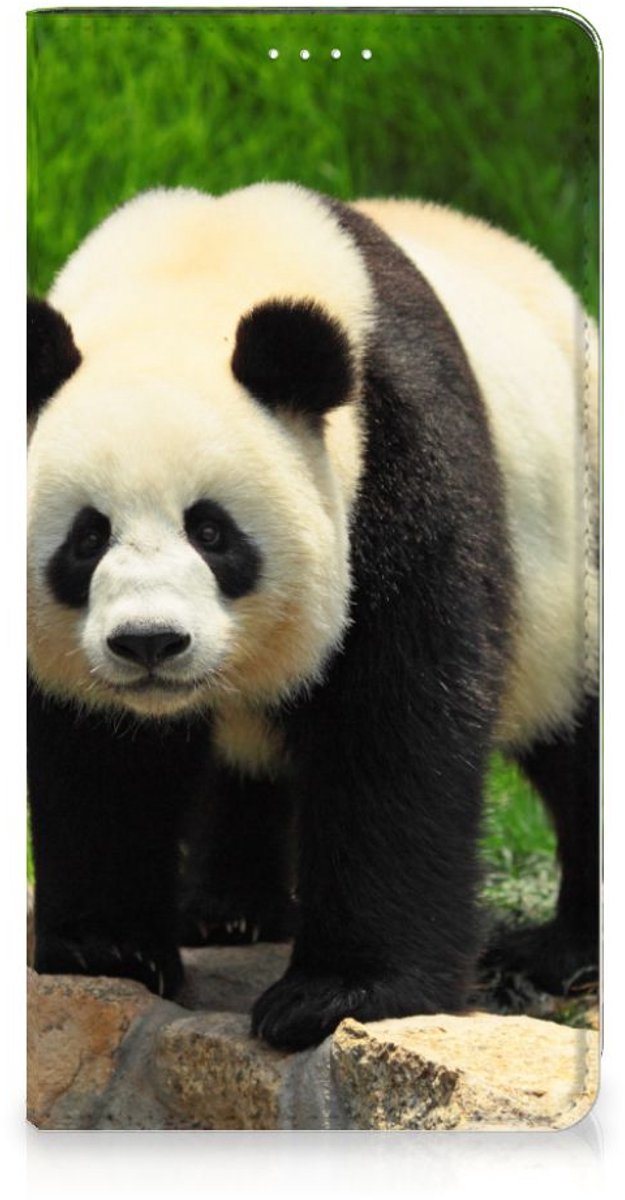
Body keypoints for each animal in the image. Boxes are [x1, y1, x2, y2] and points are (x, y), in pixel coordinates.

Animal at [27, 183, 599, 1051]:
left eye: (212, 531)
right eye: (87, 538)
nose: (150, 643)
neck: (194, 275)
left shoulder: (398, 462)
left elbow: (394, 726)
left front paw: (338, 994)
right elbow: (96, 751)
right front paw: (108, 947)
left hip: (578, 565)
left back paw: (558, 953)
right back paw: (228, 910)